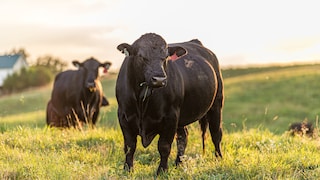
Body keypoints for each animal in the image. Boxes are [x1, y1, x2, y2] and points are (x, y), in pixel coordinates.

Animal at [116, 33, 224, 174]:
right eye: (141, 56)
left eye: (166, 57)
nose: (159, 79)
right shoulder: (124, 117)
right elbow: (130, 146)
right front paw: (127, 169)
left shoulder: (171, 117)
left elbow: (164, 146)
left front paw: (162, 171)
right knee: (183, 136)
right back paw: (179, 163)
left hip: (216, 104)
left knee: (216, 133)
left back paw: (219, 158)